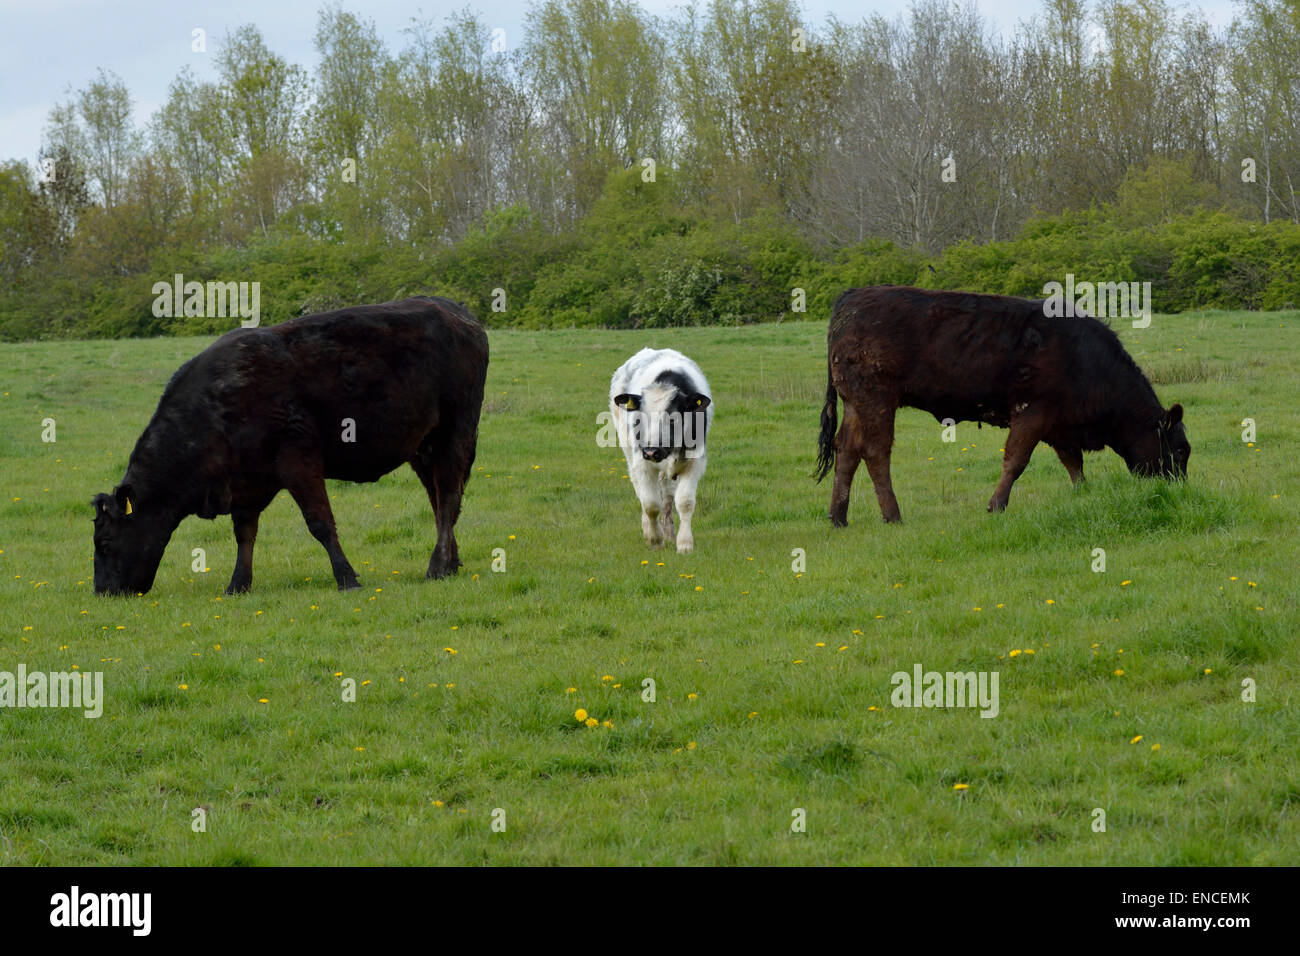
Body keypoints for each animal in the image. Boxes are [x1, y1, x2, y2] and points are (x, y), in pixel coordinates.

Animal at [93, 296, 488, 596]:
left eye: (105, 544)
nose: (102, 592)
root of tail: (456, 312)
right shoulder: (246, 482)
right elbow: (244, 534)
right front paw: (238, 584)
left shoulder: (299, 461)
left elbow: (320, 523)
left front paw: (347, 578)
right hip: (423, 447)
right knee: (440, 502)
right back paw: (451, 562)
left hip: (456, 433)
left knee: (448, 499)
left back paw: (437, 567)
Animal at [609, 348, 713, 553]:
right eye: (640, 417)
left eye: (672, 418)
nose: (651, 451)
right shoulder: (642, 462)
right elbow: (650, 504)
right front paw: (655, 539)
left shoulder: (695, 461)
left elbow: (685, 502)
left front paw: (684, 543)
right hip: (629, 453)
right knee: (642, 492)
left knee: (667, 497)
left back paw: (669, 533)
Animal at [814, 285, 1189, 525]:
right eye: (1180, 450)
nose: (1178, 490)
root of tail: (851, 298)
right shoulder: (1032, 412)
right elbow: (1016, 461)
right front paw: (997, 505)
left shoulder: (1059, 424)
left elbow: (1073, 463)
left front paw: (1084, 493)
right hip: (876, 398)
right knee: (875, 451)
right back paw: (892, 514)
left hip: (856, 403)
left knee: (847, 449)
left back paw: (838, 516)